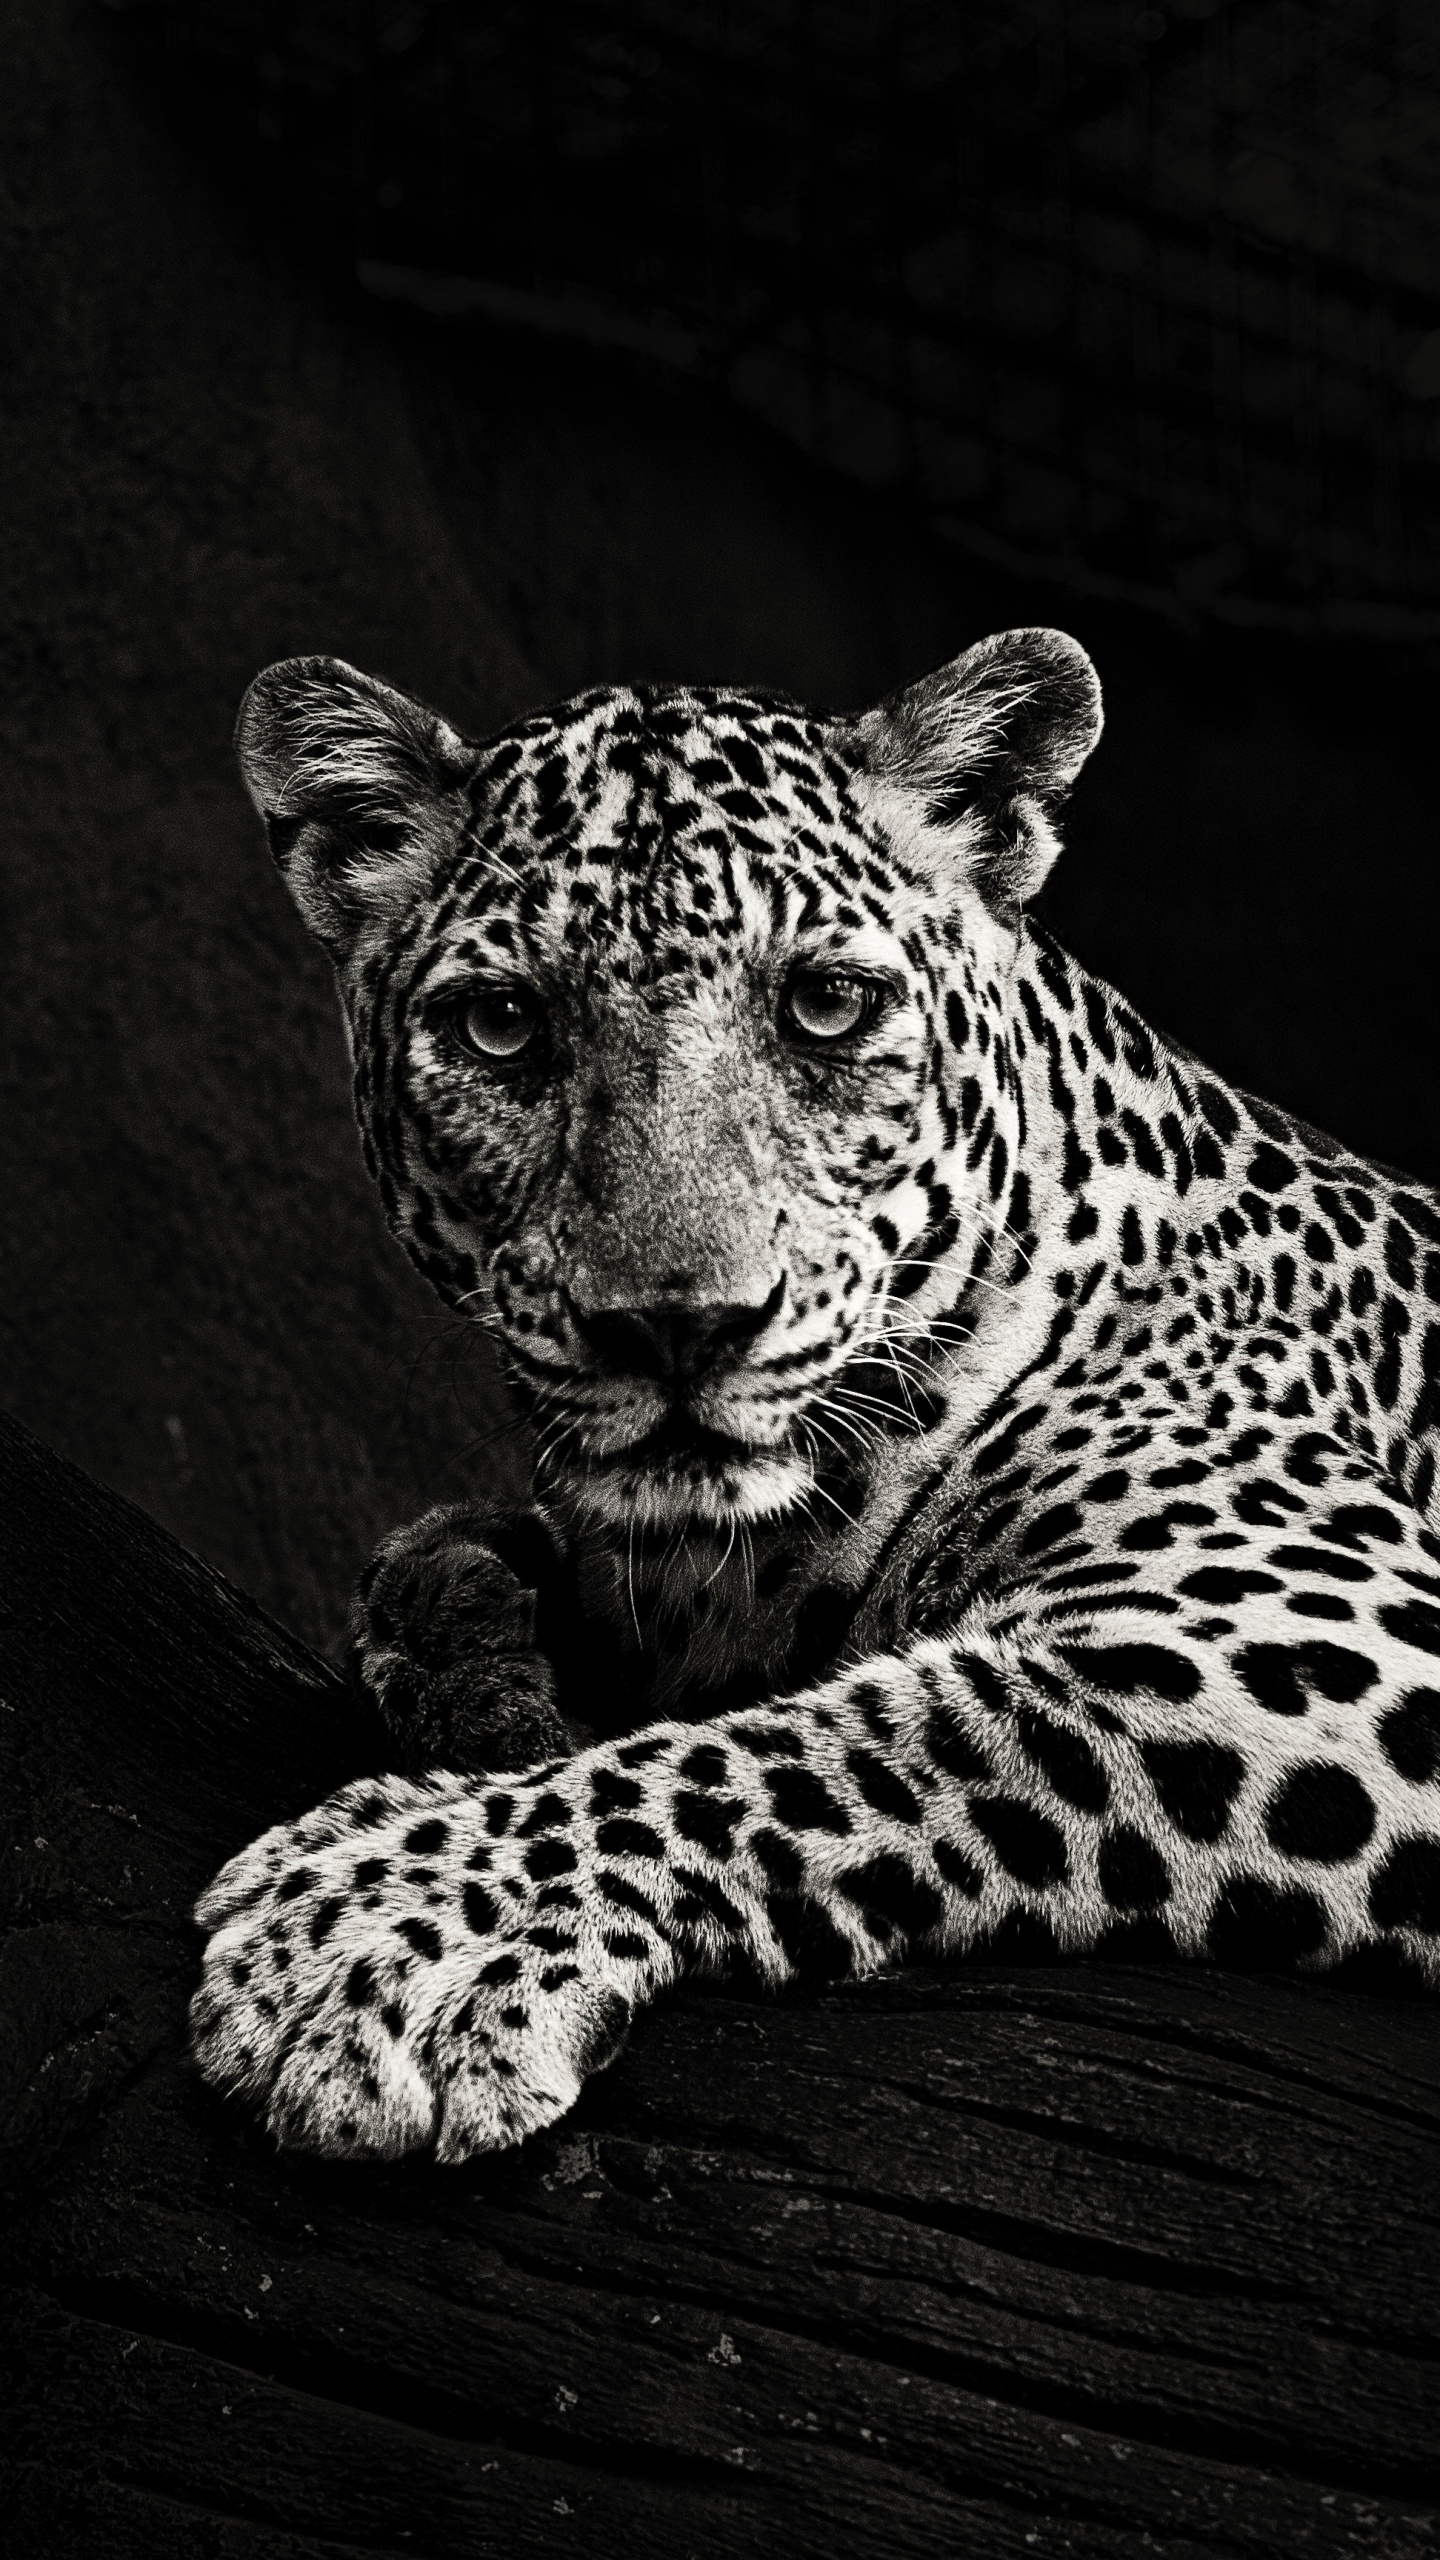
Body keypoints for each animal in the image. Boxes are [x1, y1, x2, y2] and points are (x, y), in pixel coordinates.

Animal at [190, 626, 1440, 2164]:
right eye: (501, 1027)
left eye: (827, 1007)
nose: (677, 1328)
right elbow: (427, 1570)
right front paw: (477, 1663)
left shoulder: (1333, 1630)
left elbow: (859, 1738)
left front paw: (376, 1931)